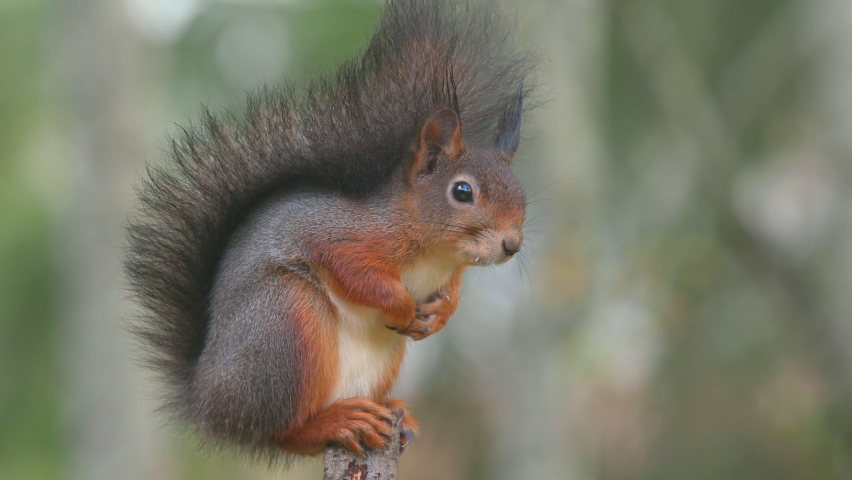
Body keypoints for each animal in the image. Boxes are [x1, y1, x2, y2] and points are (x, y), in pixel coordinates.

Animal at [126, 0, 533, 462]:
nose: (512, 244)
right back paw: (336, 422)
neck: (435, 251)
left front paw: (438, 316)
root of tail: (209, 403)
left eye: (522, 194)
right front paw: (402, 306)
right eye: (462, 191)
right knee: (283, 430)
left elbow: (450, 294)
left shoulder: (451, 271)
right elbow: (358, 274)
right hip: (287, 323)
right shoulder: (339, 237)